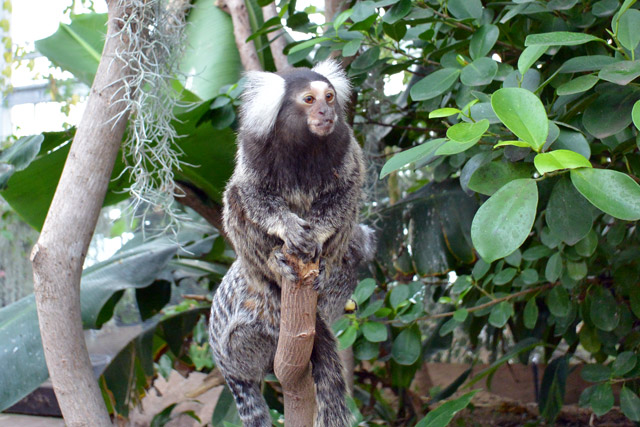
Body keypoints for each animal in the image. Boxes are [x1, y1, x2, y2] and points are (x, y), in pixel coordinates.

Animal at [208, 61, 372, 427]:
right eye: (309, 99)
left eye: (329, 96)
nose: (326, 112)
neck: (303, 146)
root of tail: (228, 368)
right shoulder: (253, 151)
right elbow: (252, 195)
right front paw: (289, 229)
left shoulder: (346, 147)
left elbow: (346, 190)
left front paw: (318, 235)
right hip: (244, 344)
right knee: (234, 199)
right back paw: (275, 262)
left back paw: (321, 266)